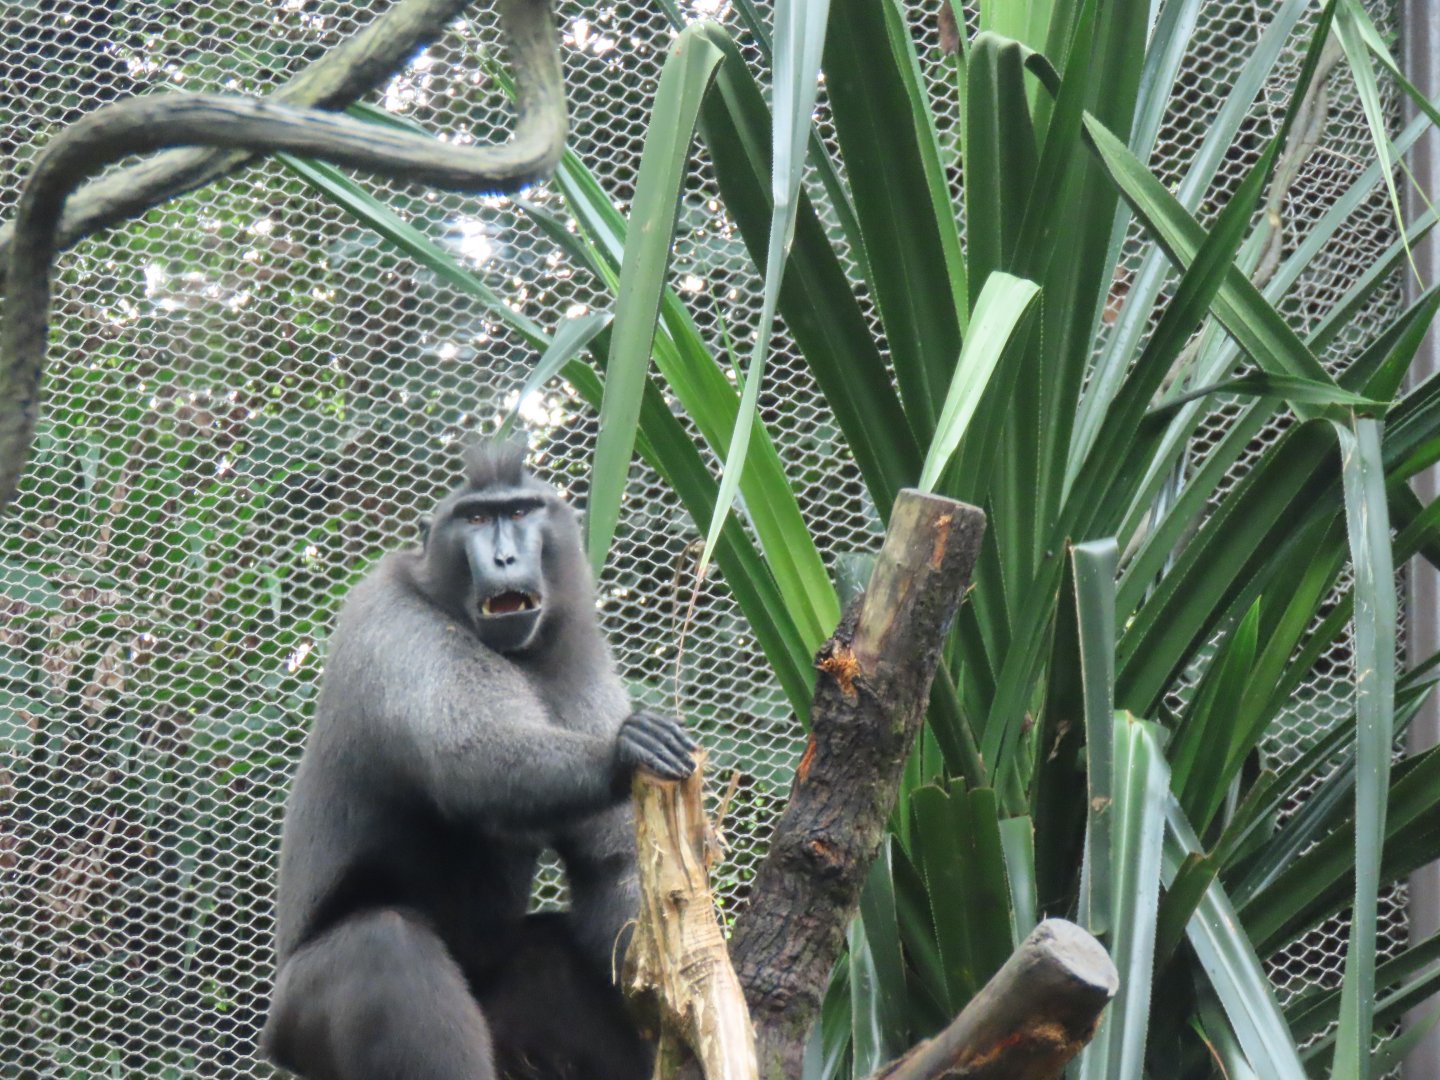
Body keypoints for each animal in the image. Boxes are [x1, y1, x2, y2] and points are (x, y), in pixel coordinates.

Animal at [260, 442, 698, 1080]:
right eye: (473, 519)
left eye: (518, 511)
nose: (504, 555)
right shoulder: (392, 619)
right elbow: (465, 758)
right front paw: (622, 753)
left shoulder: (576, 646)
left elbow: (611, 860)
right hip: (303, 1018)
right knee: (382, 944)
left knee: (552, 959)